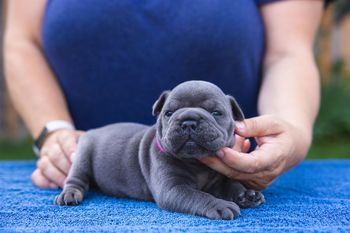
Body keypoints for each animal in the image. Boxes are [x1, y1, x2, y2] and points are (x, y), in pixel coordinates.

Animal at [54, 80, 264, 220]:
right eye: (168, 113)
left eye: (216, 113)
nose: (189, 121)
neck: (197, 163)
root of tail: (93, 131)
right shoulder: (173, 189)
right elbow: (198, 196)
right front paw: (220, 205)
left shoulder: (217, 178)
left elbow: (230, 185)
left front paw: (247, 194)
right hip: (82, 156)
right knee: (76, 178)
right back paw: (69, 195)